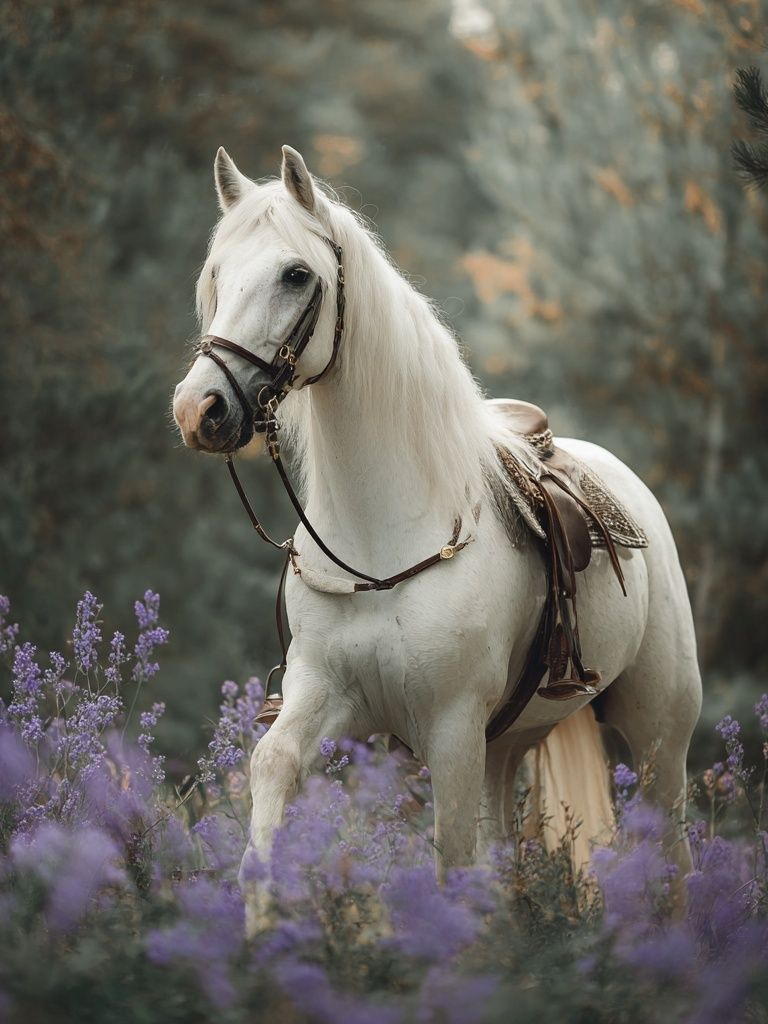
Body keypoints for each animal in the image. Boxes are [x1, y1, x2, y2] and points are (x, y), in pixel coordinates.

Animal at [173, 145, 702, 926]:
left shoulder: (450, 729)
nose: (199, 409)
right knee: (504, 852)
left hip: (657, 735)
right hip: (507, 743)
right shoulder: (326, 696)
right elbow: (272, 778)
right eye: (215, 273)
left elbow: (451, 862)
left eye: (296, 274)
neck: (377, 548)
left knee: (672, 854)